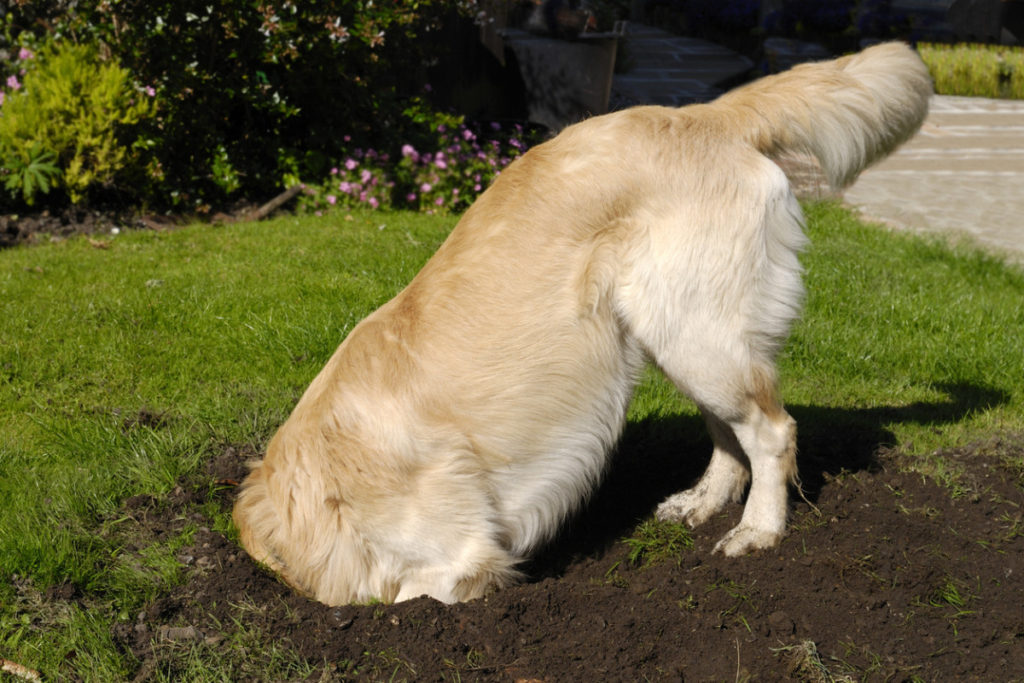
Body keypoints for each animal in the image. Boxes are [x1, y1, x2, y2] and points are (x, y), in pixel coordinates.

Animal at [234, 44, 937, 602]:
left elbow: (425, 591)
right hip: (680, 332)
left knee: (772, 431)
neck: (321, 480)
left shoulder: (462, 558)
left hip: (695, 332)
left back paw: (758, 530)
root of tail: (701, 114)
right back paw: (703, 503)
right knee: (728, 433)